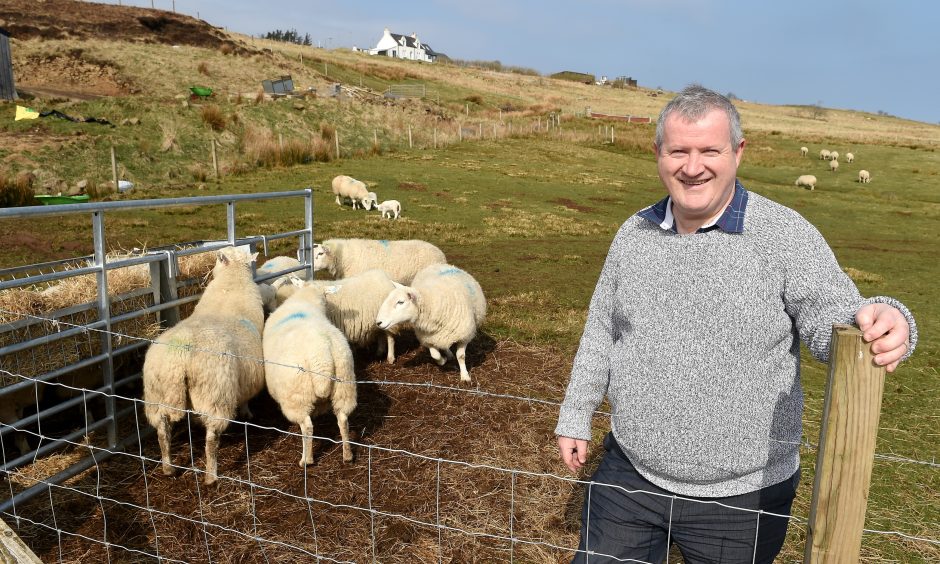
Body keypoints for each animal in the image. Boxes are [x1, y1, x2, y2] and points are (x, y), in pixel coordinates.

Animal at [144, 247, 268, 484]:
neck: (231, 283)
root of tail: (180, 356)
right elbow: (245, 399)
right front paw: (247, 413)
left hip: (156, 395)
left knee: (162, 432)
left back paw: (168, 468)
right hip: (215, 395)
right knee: (211, 440)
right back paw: (211, 476)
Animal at [260, 286, 356, 468]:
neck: (305, 300)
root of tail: (321, 353)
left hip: (297, 396)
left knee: (307, 427)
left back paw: (306, 460)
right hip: (344, 386)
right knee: (343, 419)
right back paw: (347, 455)